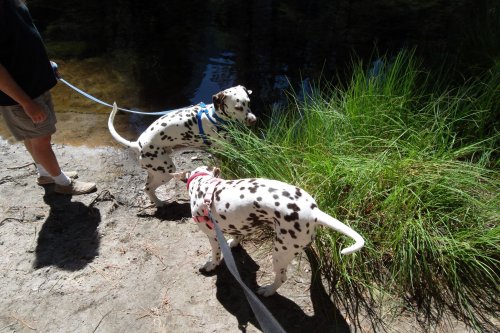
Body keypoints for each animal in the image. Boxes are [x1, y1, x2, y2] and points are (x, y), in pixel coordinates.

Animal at [108, 84, 256, 206]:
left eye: (249, 102)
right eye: (238, 107)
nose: (253, 120)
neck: (214, 117)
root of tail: (137, 144)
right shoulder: (222, 152)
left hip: (155, 172)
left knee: (146, 188)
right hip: (165, 172)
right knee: (149, 188)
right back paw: (161, 203)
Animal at [174, 165, 366, 294]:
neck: (205, 185)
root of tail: (314, 212)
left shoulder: (212, 235)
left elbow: (215, 254)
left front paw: (211, 265)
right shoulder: (239, 224)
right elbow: (237, 236)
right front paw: (234, 243)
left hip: (280, 252)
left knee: (281, 278)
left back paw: (268, 291)